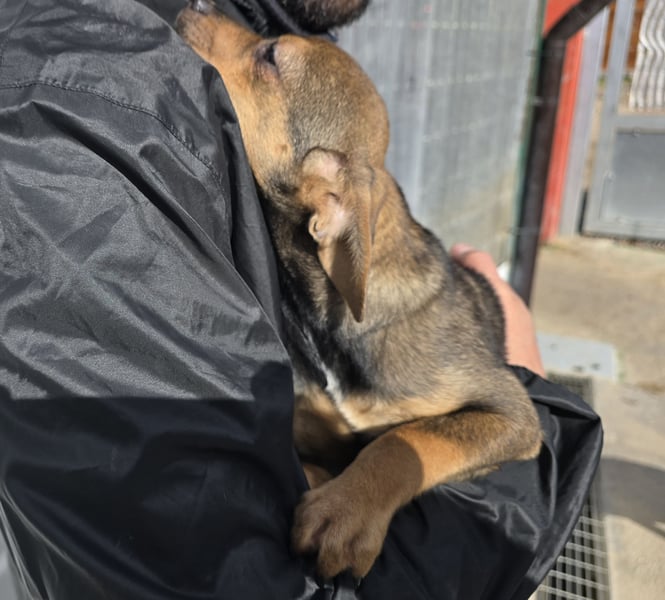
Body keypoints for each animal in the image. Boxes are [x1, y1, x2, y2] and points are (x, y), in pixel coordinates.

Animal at [176, 0, 543, 579]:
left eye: (271, 54)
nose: (197, 4)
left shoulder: (511, 413)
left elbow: (406, 439)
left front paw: (345, 511)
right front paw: (325, 482)